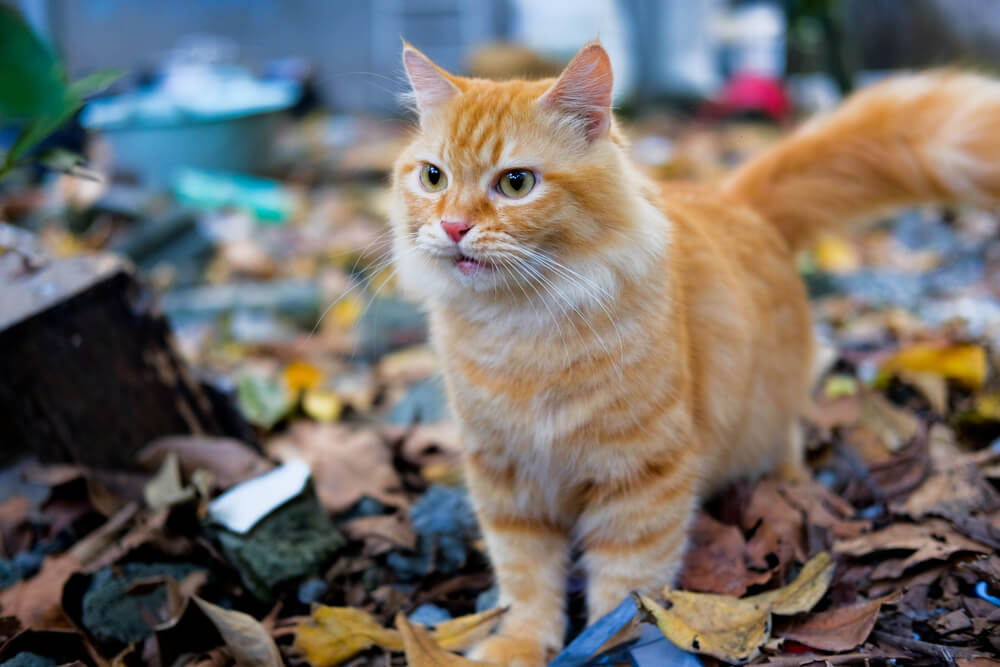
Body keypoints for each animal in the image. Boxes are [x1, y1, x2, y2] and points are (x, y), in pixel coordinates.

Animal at [388, 39, 1000, 664]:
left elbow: (623, 591)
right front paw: (519, 645)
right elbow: (527, 583)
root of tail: (737, 203)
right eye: (434, 177)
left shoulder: (644, 476)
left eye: (515, 183)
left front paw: (604, 647)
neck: (520, 329)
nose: (453, 226)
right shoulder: (506, 479)